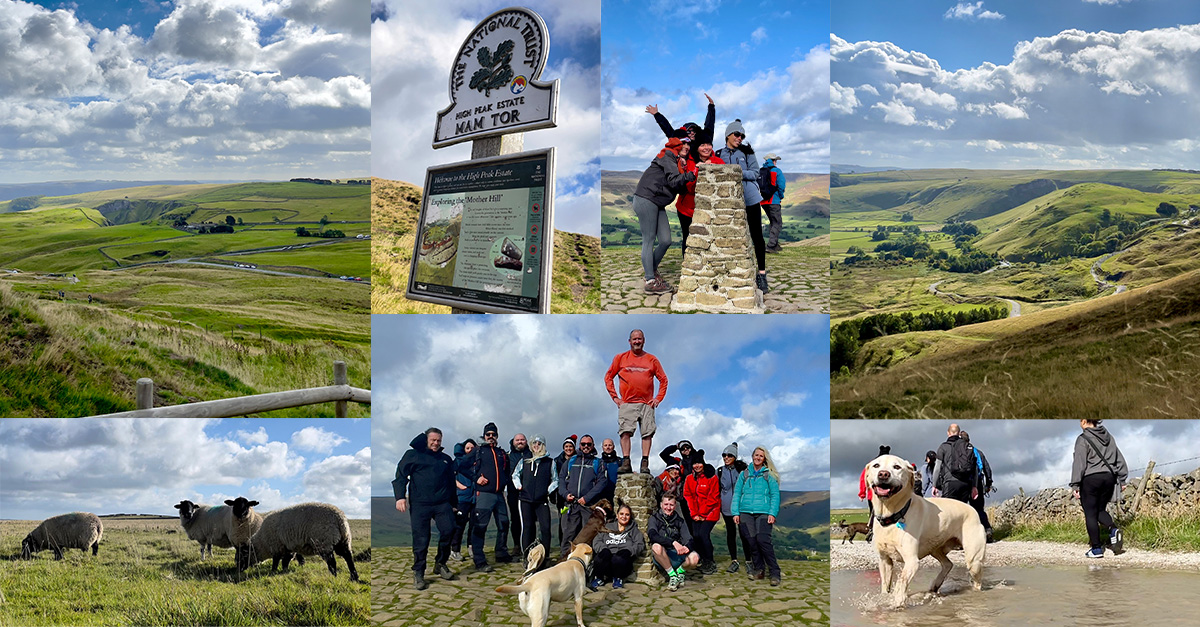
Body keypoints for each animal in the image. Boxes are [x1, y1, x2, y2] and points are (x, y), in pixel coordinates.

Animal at [868, 454, 988, 605]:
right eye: (876, 465)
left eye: (897, 467)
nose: (883, 474)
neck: (892, 515)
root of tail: (973, 510)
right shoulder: (884, 559)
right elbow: (885, 585)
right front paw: (885, 600)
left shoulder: (912, 561)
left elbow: (901, 582)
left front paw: (897, 603)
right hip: (934, 548)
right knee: (948, 564)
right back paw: (935, 585)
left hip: (973, 560)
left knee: (977, 581)